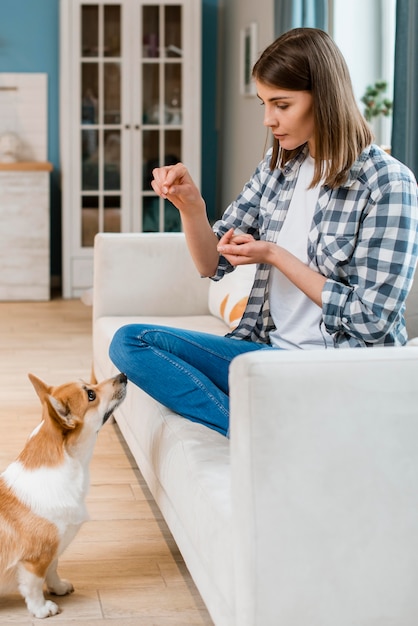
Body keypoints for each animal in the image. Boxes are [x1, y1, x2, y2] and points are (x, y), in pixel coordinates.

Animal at [0, 368, 127, 616]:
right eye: (90, 395)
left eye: (89, 385)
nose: (124, 375)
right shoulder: (35, 560)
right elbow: (33, 586)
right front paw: (41, 609)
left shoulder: (53, 552)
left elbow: (54, 570)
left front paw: (58, 588)